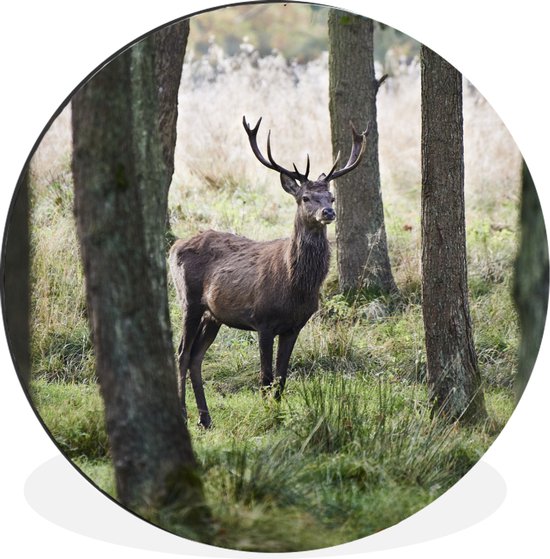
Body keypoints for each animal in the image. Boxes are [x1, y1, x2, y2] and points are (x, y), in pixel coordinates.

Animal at [170, 116, 368, 426]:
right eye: (306, 197)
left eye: (331, 197)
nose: (328, 213)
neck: (295, 287)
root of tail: (174, 246)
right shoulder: (262, 321)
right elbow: (265, 377)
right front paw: (268, 417)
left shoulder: (294, 326)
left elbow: (282, 378)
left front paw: (279, 414)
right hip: (188, 300)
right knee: (182, 354)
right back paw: (184, 413)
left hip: (213, 314)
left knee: (195, 357)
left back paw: (205, 419)